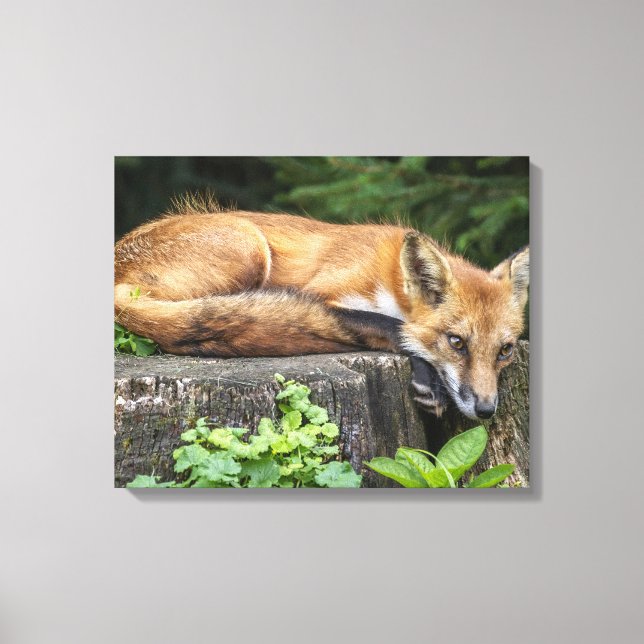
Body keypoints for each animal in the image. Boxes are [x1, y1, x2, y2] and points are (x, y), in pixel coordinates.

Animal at [114, 199, 529, 421]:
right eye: (456, 343)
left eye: (505, 351)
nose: (486, 410)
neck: (391, 279)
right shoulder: (323, 294)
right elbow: (393, 326)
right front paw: (427, 377)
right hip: (249, 247)